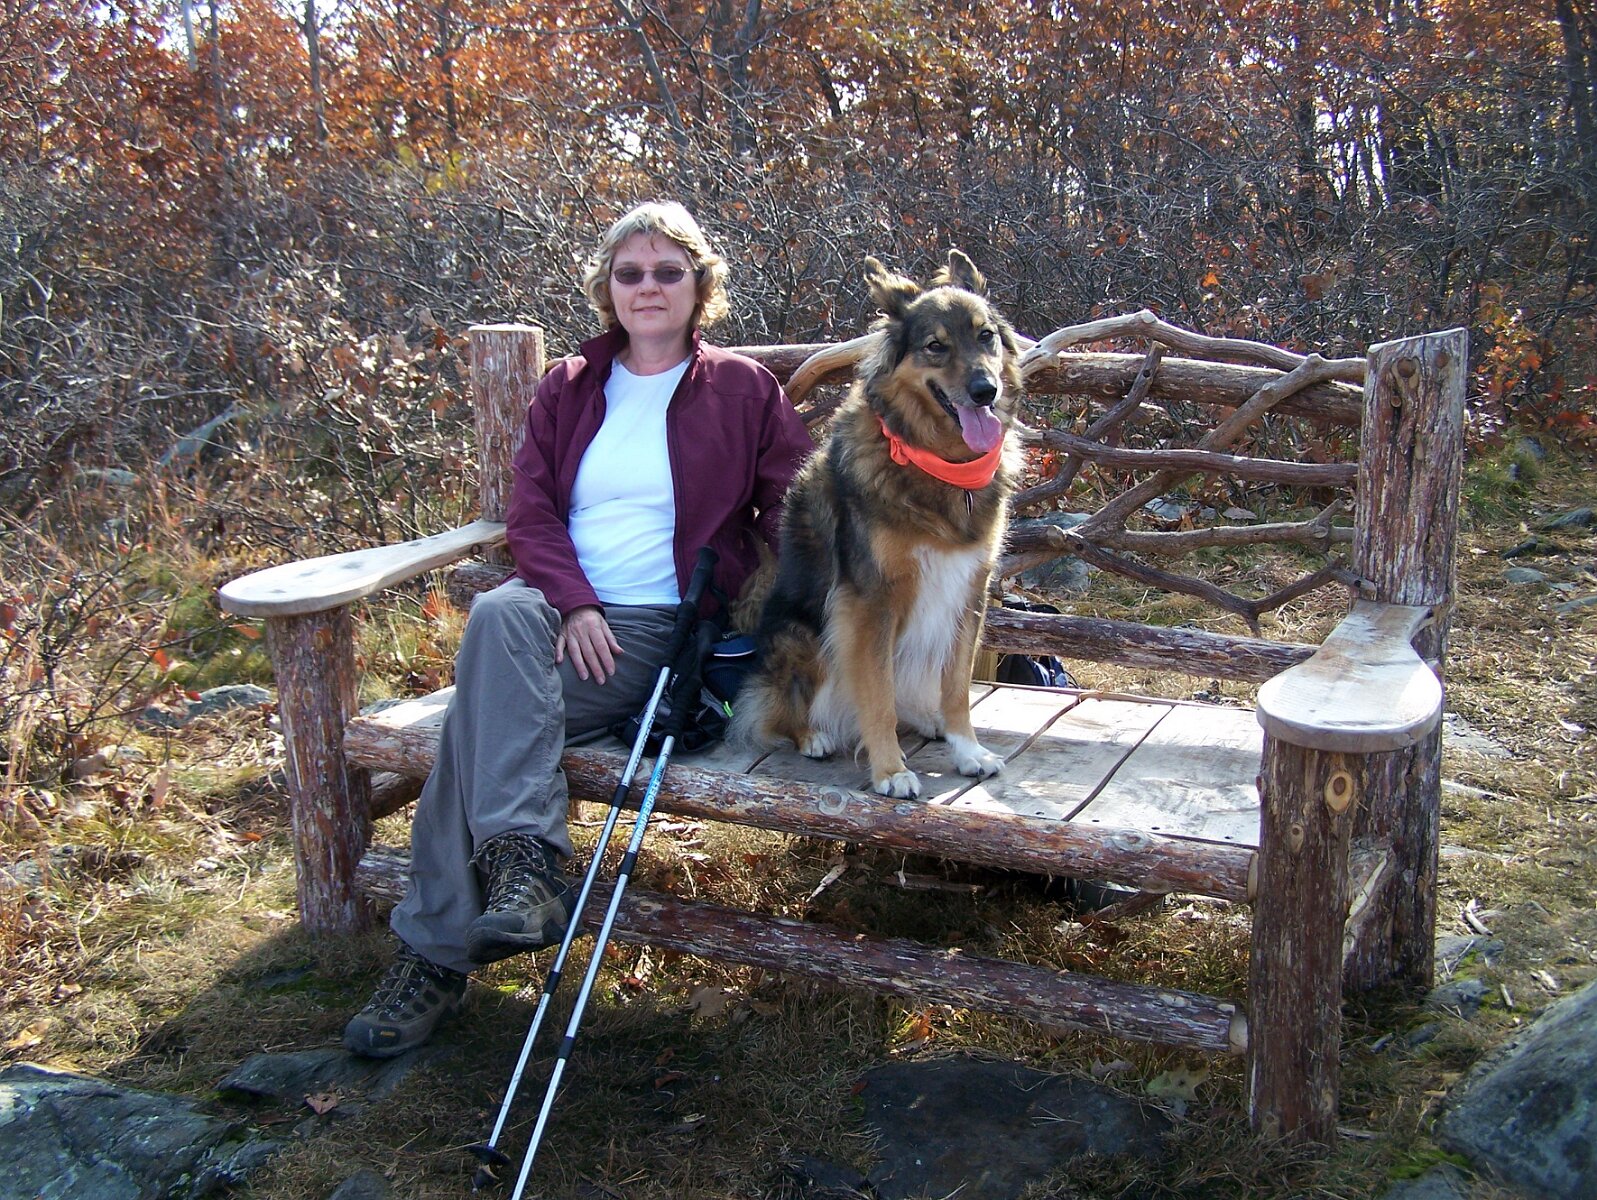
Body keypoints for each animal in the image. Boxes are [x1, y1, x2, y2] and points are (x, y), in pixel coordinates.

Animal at [735, 249, 1023, 798]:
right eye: (935, 346)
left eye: (986, 336)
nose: (985, 390)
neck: (935, 462)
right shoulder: (869, 601)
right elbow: (878, 694)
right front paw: (890, 770)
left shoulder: (970, 591)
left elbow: (956, 687)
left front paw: (967, 749)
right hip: (801, 635)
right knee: (779, 710)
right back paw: (814, 735)